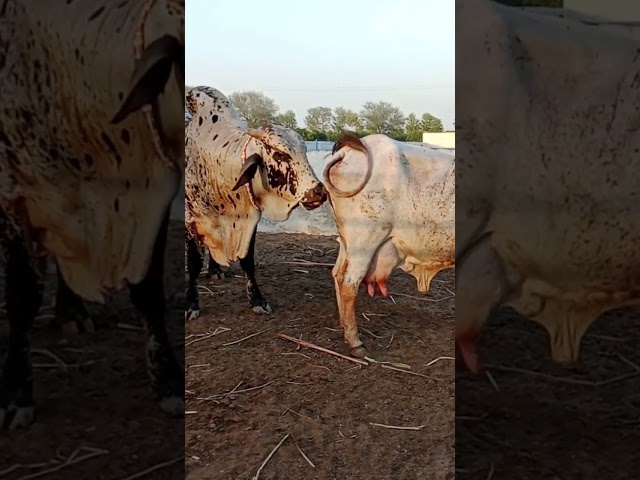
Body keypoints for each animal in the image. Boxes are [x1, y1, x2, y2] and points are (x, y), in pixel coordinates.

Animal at [0, 0, 184, 429]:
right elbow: (22, 295)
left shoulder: (151, 199)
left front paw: (167, 383)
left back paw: (72, 311)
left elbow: (149, 291)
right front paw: (16, 395)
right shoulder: (16, 193)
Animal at [184, 86, 327, 320]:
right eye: (279, 154)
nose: (318, 192)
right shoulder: (191, 220)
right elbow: (194, 263)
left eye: (304, 151)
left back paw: (215, 270)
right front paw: (191, 304)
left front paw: (257, 299)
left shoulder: (250, 220)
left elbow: (247, 262)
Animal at [322, 133, 455, 358]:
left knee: (337, 274)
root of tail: (349, 150)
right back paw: (355, 341)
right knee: (349, 283)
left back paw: (344, 326)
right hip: (364, 241)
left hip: (347, 242)